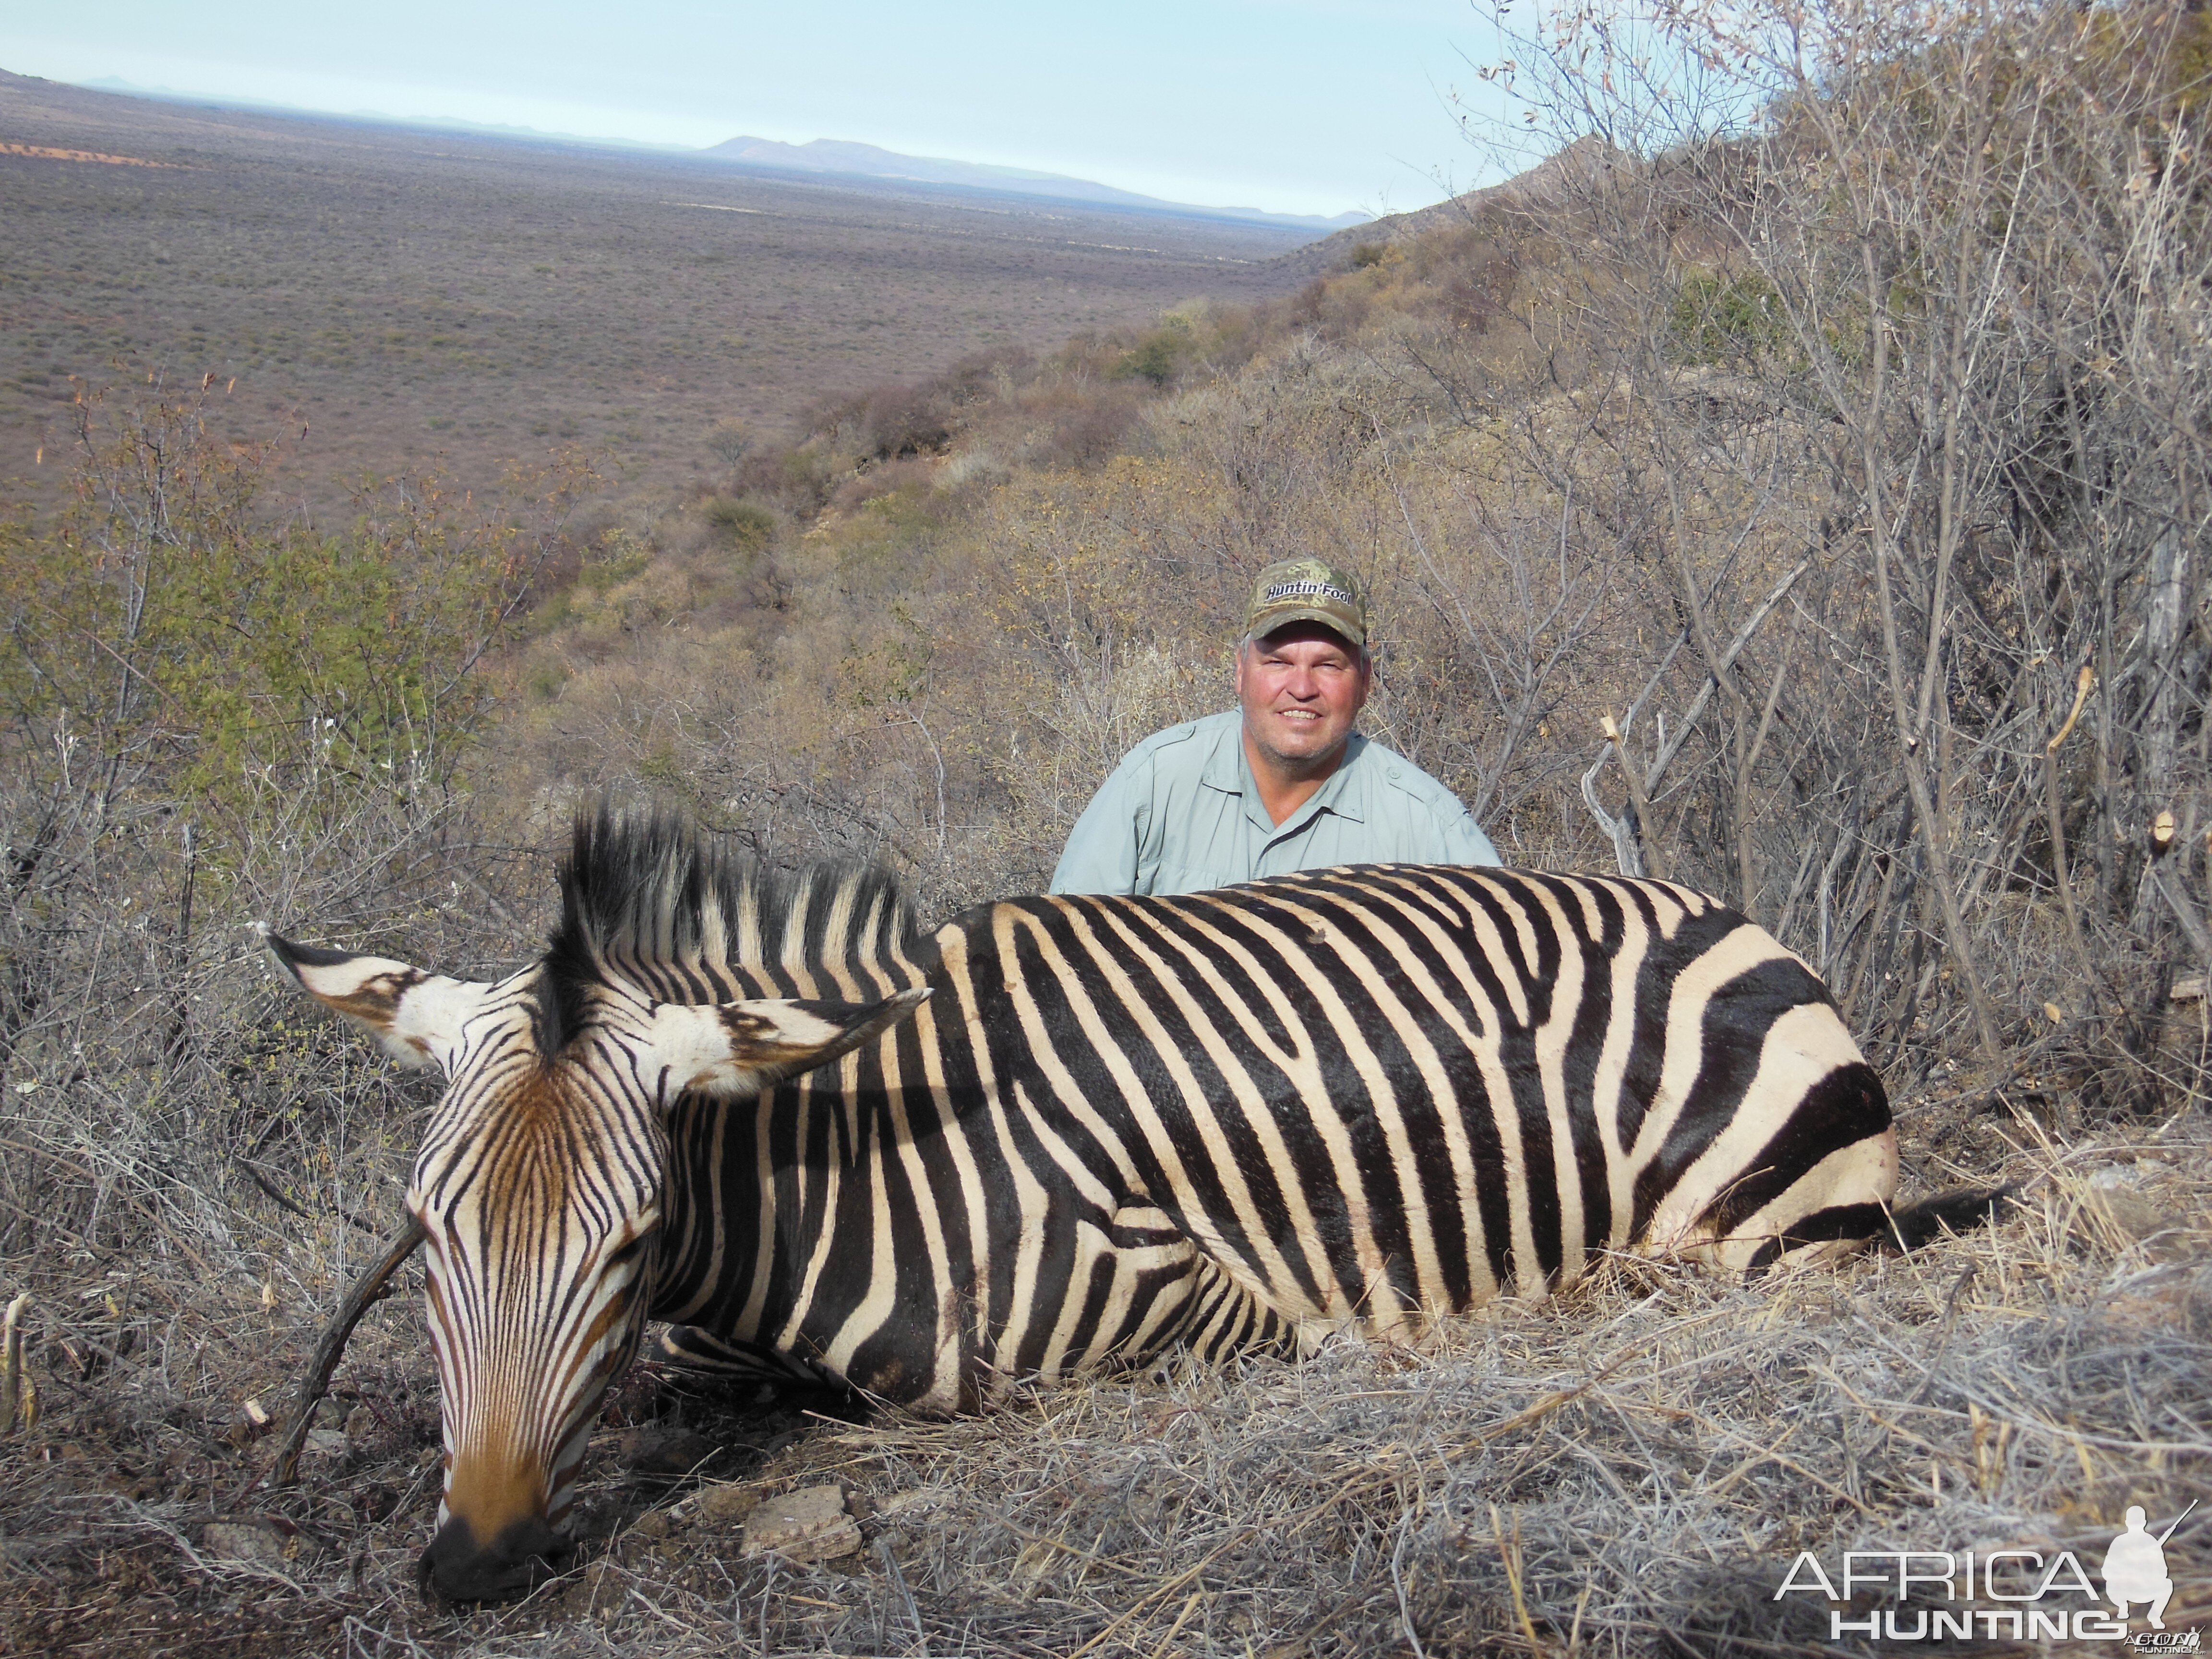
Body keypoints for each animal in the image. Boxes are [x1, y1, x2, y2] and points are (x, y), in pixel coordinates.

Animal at [267, 814, 1999, 1601]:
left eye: (628, 1243)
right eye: (429, 1234)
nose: (475, 1560)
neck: (855, 1154)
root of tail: (1749, 925)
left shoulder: (1181, 1301)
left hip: (1744, 1238)